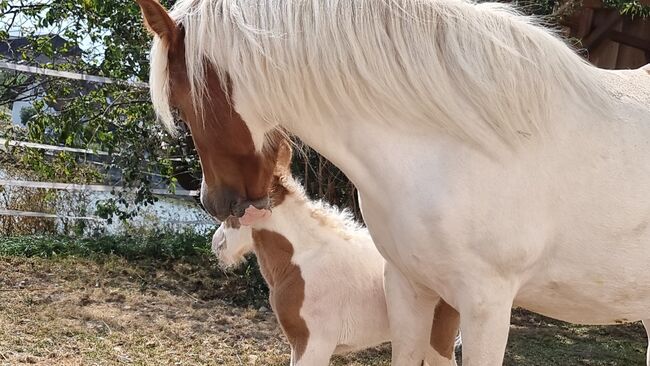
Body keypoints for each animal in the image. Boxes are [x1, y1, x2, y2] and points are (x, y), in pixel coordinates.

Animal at [210, 146, 458, 366]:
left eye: (233, 212)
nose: (216, 244)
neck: (301, 261)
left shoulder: (313, 345)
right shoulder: (298, 345)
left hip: (437, 338)